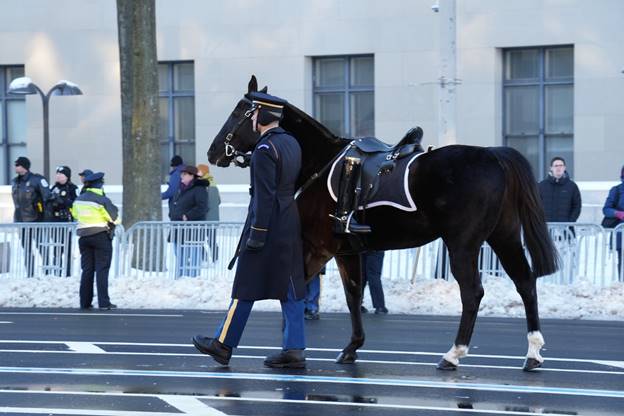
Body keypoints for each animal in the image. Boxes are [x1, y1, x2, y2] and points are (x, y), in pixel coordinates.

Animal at [207, 75, 560, 370]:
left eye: (239, 112)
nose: (212, 153)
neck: (321, 163)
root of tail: (494, 155)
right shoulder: (348, 251)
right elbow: (353, 294)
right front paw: (350, 347)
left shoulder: (320, 248)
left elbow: (300, 291)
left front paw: (285, 347)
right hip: (504, 237)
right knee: (525, 282)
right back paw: (532, 352)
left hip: (463, 245)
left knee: (473, 292)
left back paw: (454, 353)